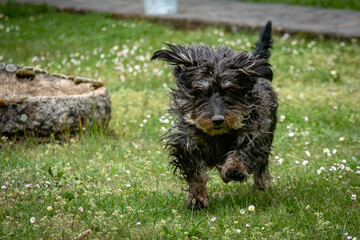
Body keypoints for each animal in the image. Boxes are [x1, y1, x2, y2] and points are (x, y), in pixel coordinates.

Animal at [150, 20, 278, 208]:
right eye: (201, 92)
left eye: (229, 91)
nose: (217, 120)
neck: (218, 134)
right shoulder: (186, 142)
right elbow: (195, 172)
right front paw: (197, 197)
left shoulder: (256, 133)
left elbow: (244, 151)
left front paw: (234, 169)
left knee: (261, 166)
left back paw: (260, 185)